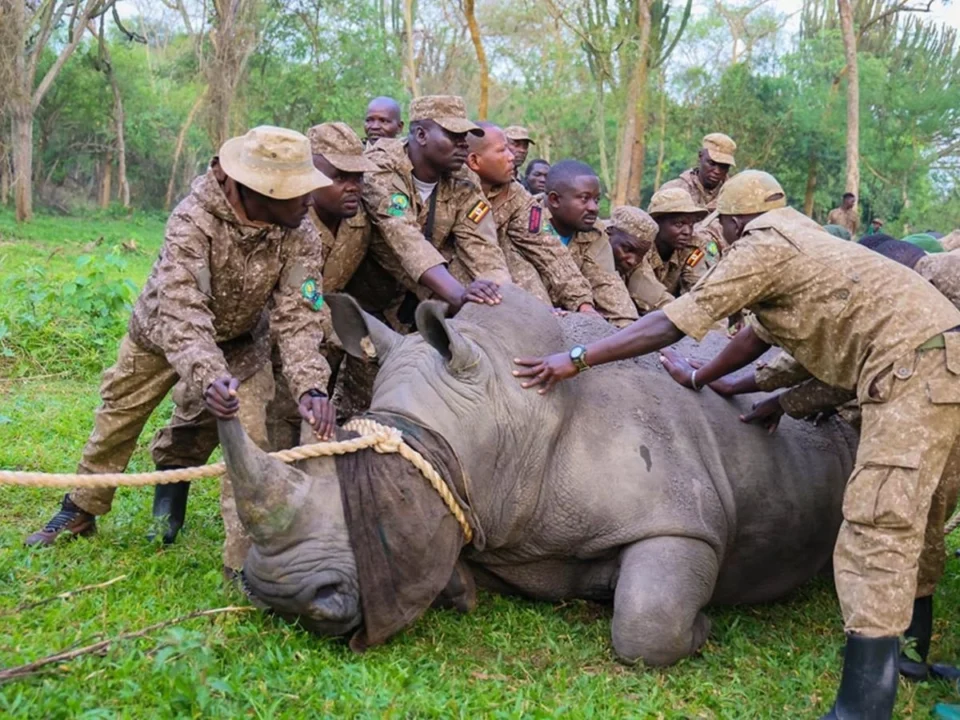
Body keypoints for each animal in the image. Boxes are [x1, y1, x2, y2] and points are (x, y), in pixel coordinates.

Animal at [218, 285, 857, 665]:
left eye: (390, 494)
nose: (282, 598)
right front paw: (462, 588)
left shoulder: (683, 521)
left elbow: (645, 624)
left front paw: (700, 631)